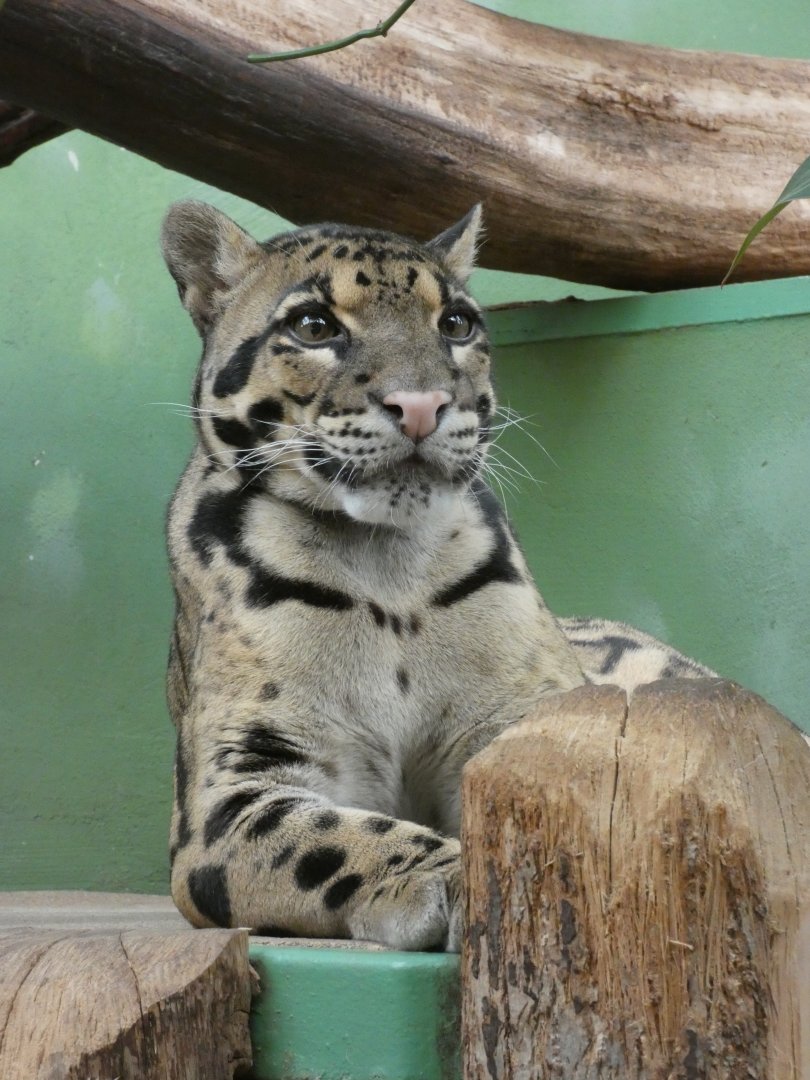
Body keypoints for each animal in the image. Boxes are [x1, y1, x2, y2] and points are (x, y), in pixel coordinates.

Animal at [160, 200, 714, 951]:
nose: (422, 404)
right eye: (314, 326)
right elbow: (329, 834)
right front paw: (454, 875)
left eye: (455, 324)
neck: (384, 566)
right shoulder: (232, 783)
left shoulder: (521, 720)